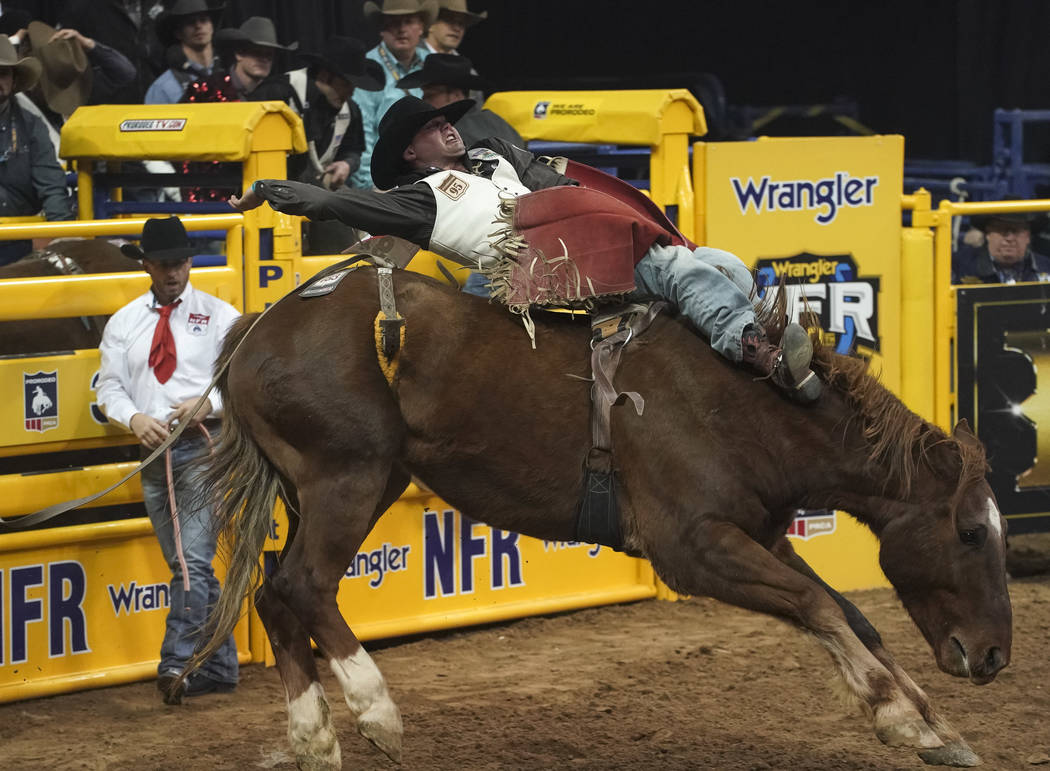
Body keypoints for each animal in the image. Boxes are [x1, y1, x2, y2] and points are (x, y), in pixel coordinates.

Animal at [186, 264, 1007, 768]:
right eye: (970, 532)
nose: (995, 656)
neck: (749, 405)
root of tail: (258, 326)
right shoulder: (694, 547)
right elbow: (818, 605)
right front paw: (901, 715)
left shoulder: (762, 536)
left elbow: (851, 616)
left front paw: (935, 727)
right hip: (347, 476)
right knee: (303, 587)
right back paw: (375, 710)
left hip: (351, 482)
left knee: (275, 594)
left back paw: (314, 739)